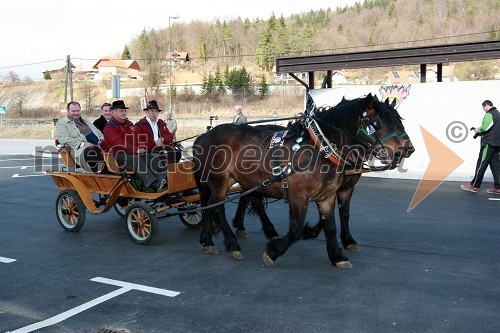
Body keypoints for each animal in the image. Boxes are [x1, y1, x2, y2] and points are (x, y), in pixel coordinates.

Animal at [192, 92, 414, 268]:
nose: (407, 149)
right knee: (217, 207)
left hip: (233, 181)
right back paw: (232, 244)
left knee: (211, 205)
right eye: (378, 122)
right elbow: (296, 229)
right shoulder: (298, 197)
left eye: (399, 119)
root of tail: (203, 136)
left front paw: (337, 254)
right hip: (219, 180)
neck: (320, 149)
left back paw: (207, 240)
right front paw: (273, 251)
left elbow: (332, 224)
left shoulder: (329, 196)